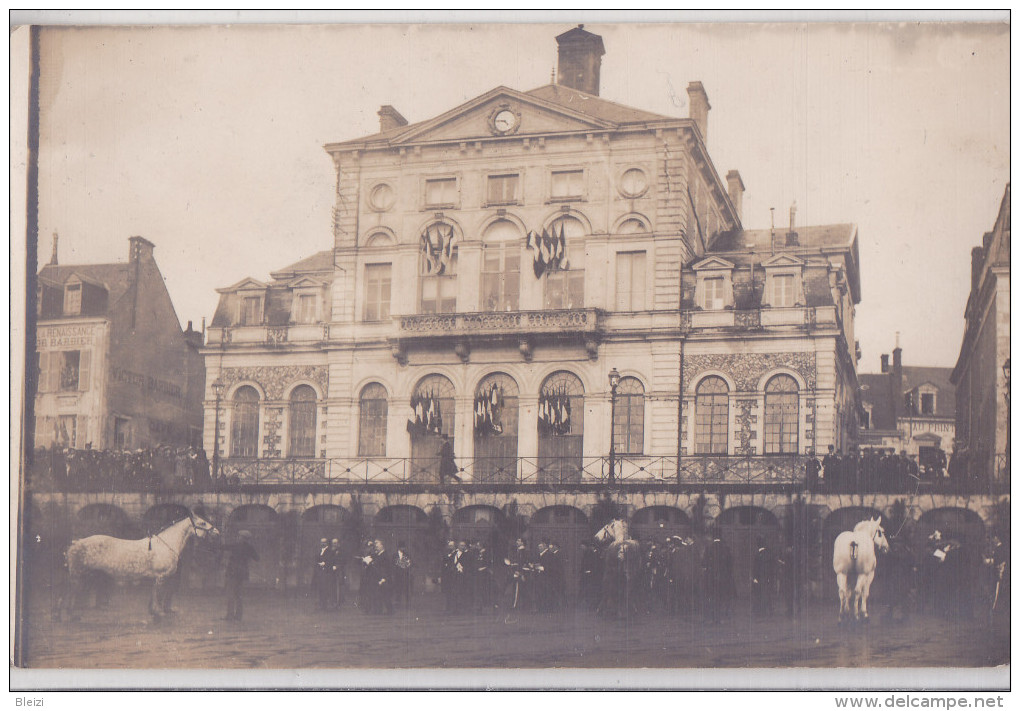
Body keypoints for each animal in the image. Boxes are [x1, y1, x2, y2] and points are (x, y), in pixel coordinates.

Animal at [62, 508, 218, 620]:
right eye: (203, 523)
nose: (216, 532)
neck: (166, 545)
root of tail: (75, 542)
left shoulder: (157, 578)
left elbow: (154, 594)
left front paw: (154, 611)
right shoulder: (161, 577)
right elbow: (159, 595)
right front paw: (159, 613)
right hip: (78, 576)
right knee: (70, 593)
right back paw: (69, 615)